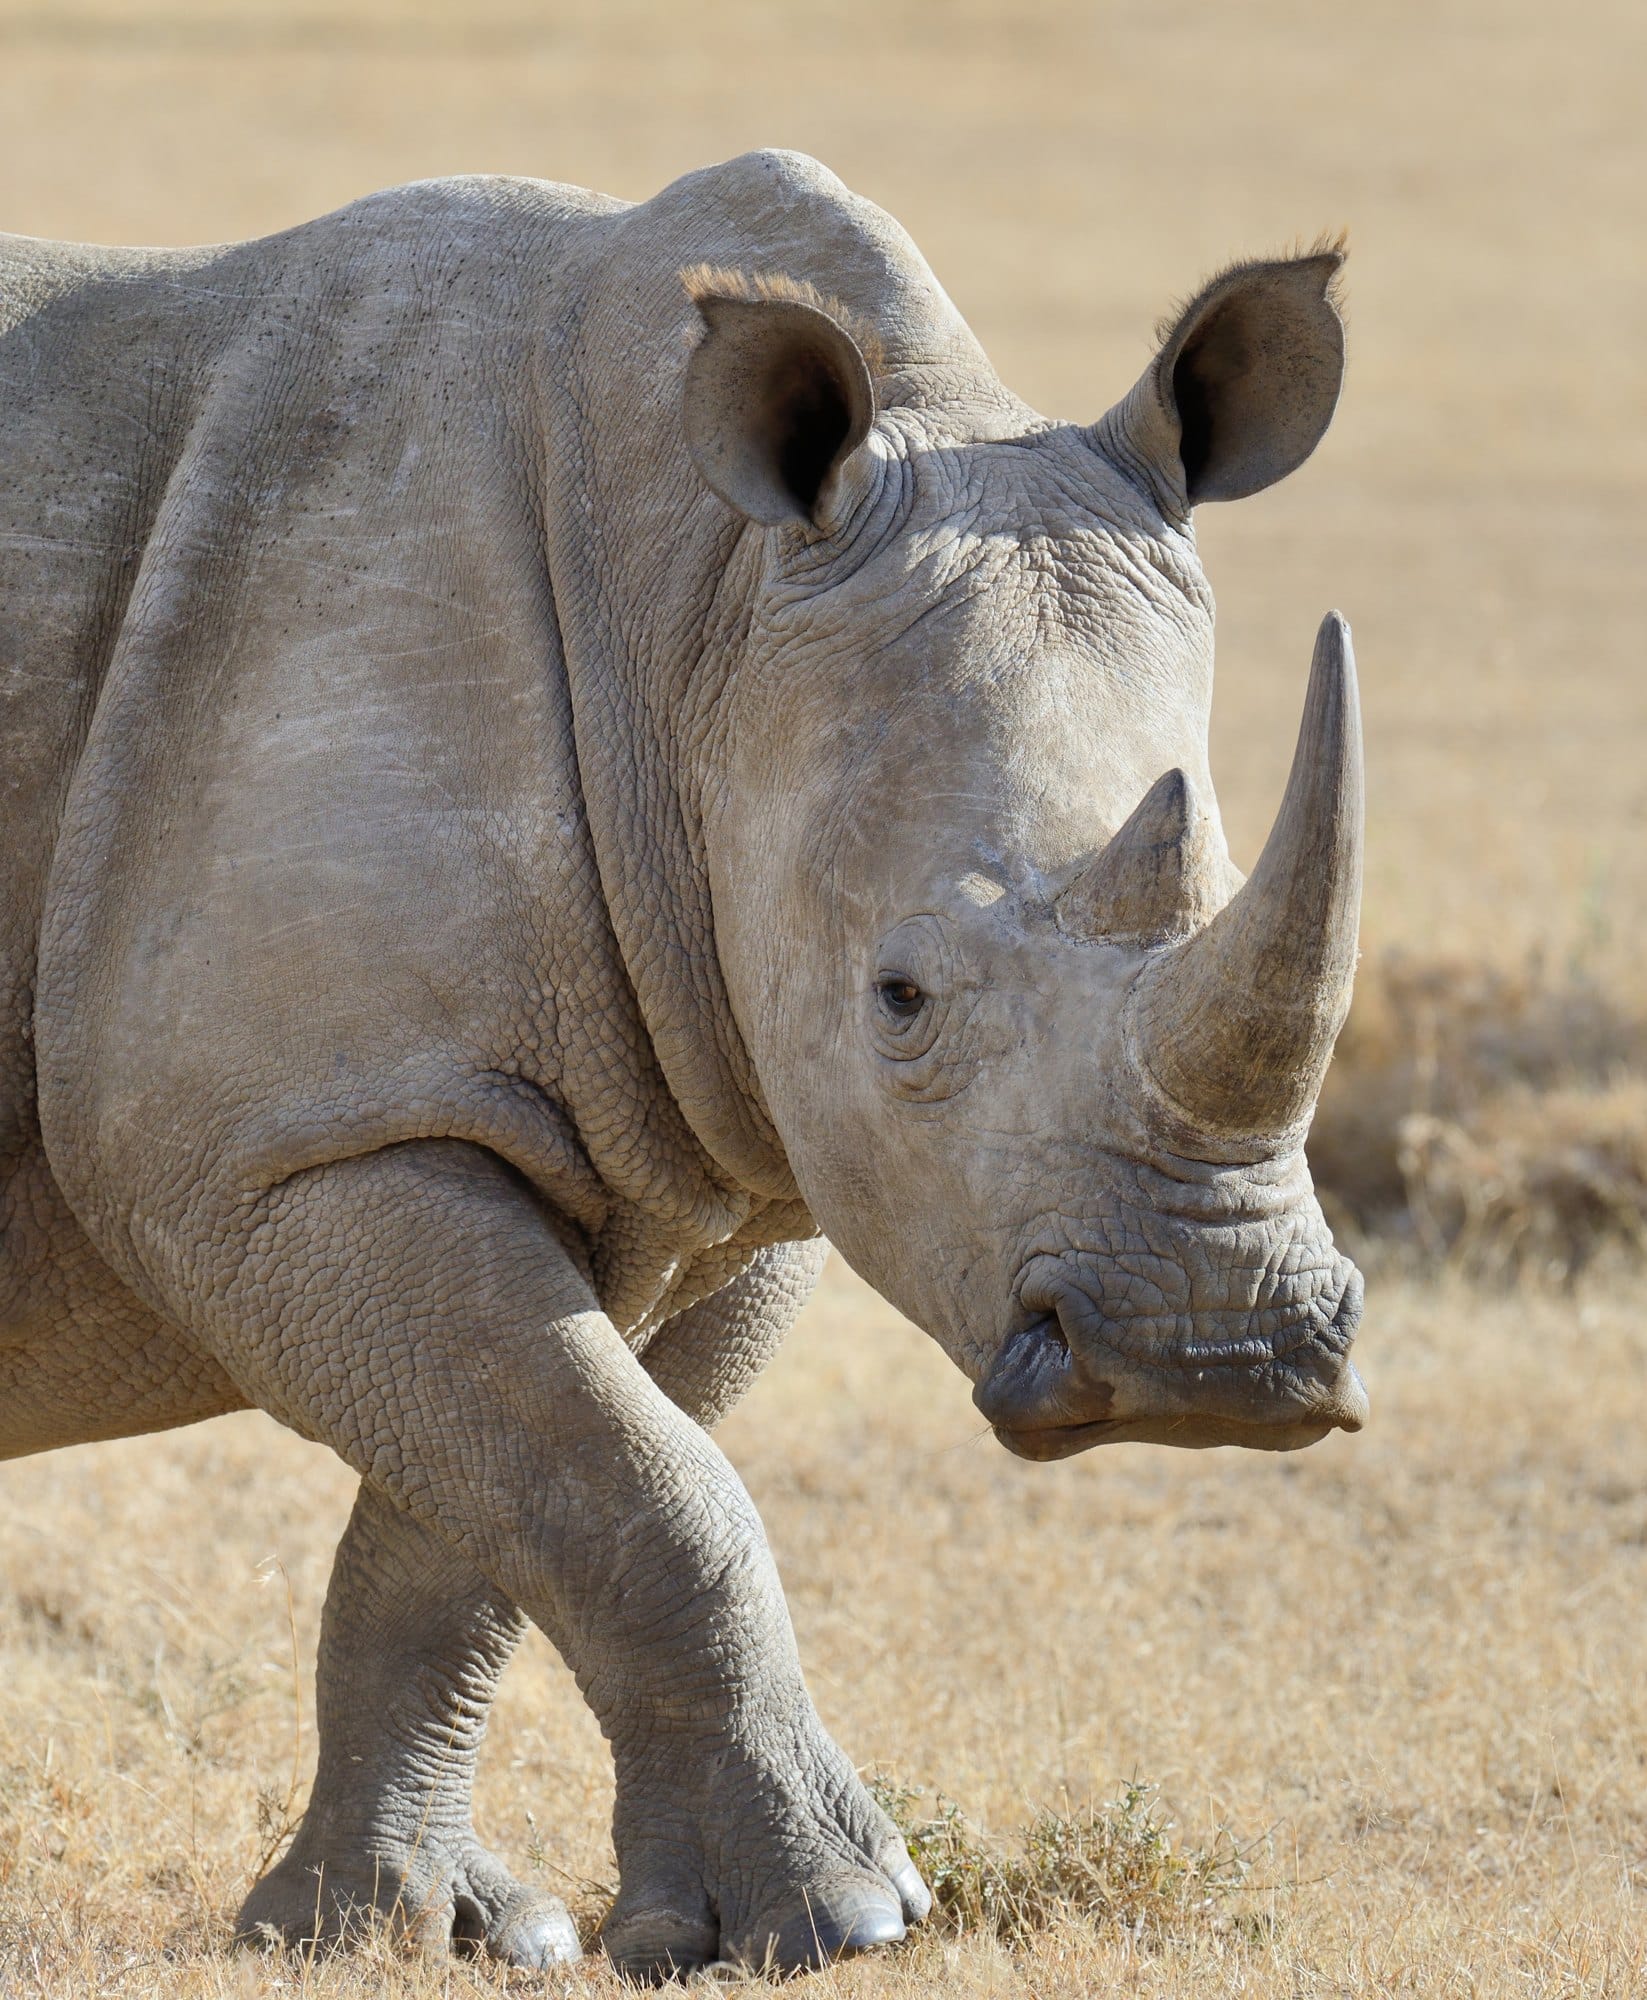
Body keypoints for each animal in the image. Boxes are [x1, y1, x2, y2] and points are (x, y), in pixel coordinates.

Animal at [0, 149, 1367, 1976]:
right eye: (899, 997)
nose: (1211, 1361)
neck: (693, 617)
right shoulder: (282, 1142)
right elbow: (641, 1492)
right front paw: (839, 1919)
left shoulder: (712, 1155)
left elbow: (500, 1517)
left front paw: (399, 1930)